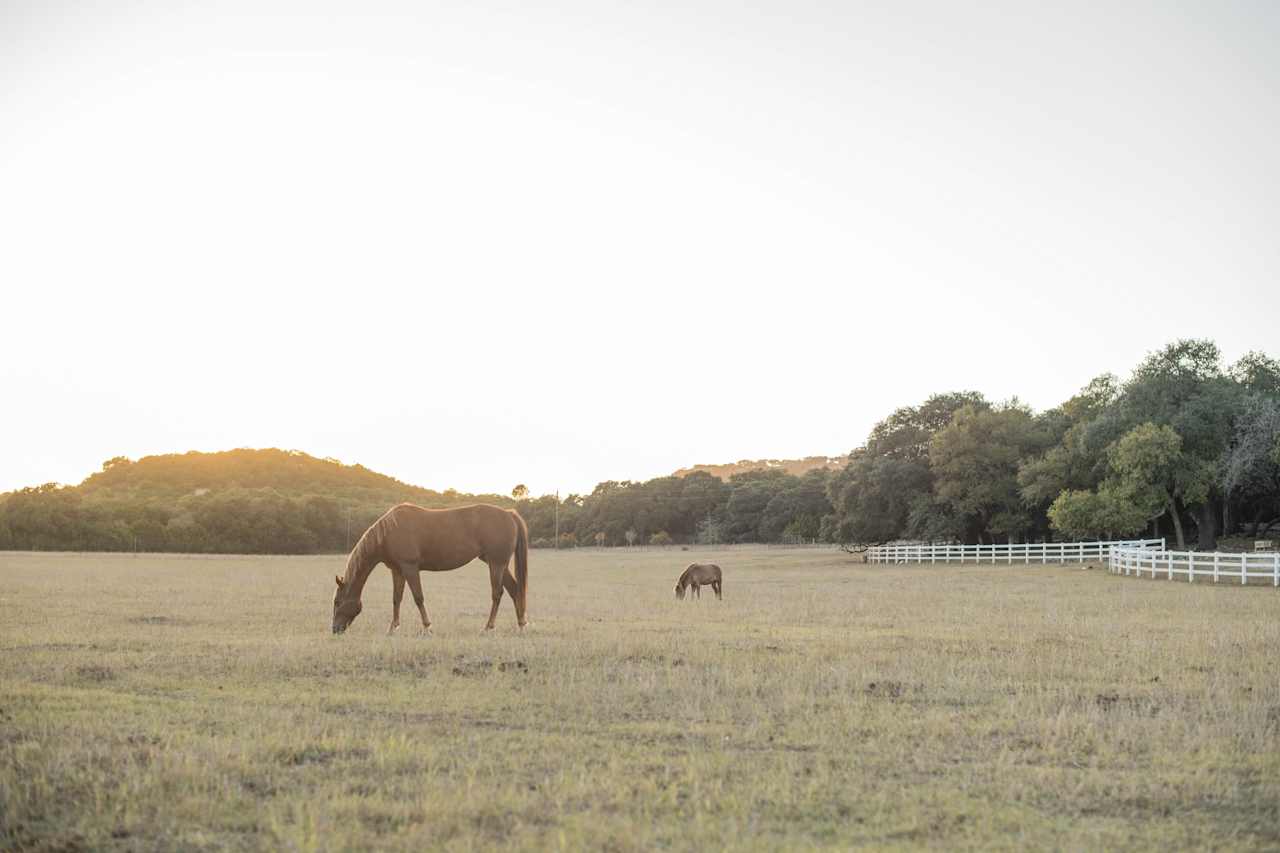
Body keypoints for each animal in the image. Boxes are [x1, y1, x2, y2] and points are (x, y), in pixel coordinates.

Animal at [335, 502, 529, 635]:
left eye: (337, 602)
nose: (335, 629)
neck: (389, 532)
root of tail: (509, 514)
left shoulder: (410, 568)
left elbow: (418, 598)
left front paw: (427, 627)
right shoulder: (397, 570)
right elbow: (396, 599)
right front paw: (392, 628)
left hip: (496, 564)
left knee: (497, 594)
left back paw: (488, 627)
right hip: (498, 564)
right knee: (514, 590)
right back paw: (521, 625)